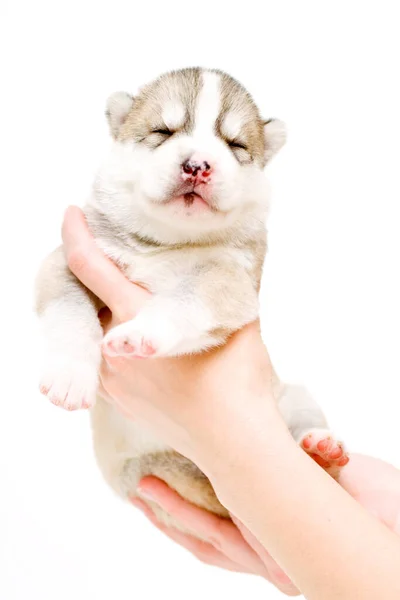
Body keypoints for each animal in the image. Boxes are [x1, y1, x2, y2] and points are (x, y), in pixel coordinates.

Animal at [34, 67, 348, 536]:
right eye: (162, 133)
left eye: (235, 145)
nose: (197, 165)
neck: (167, 243)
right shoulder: (67, 263)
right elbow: (70, 316)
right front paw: (70, 376)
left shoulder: (227, 281)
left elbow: (184, 300)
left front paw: (141, 333)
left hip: (294, 398)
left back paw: (320, 449)